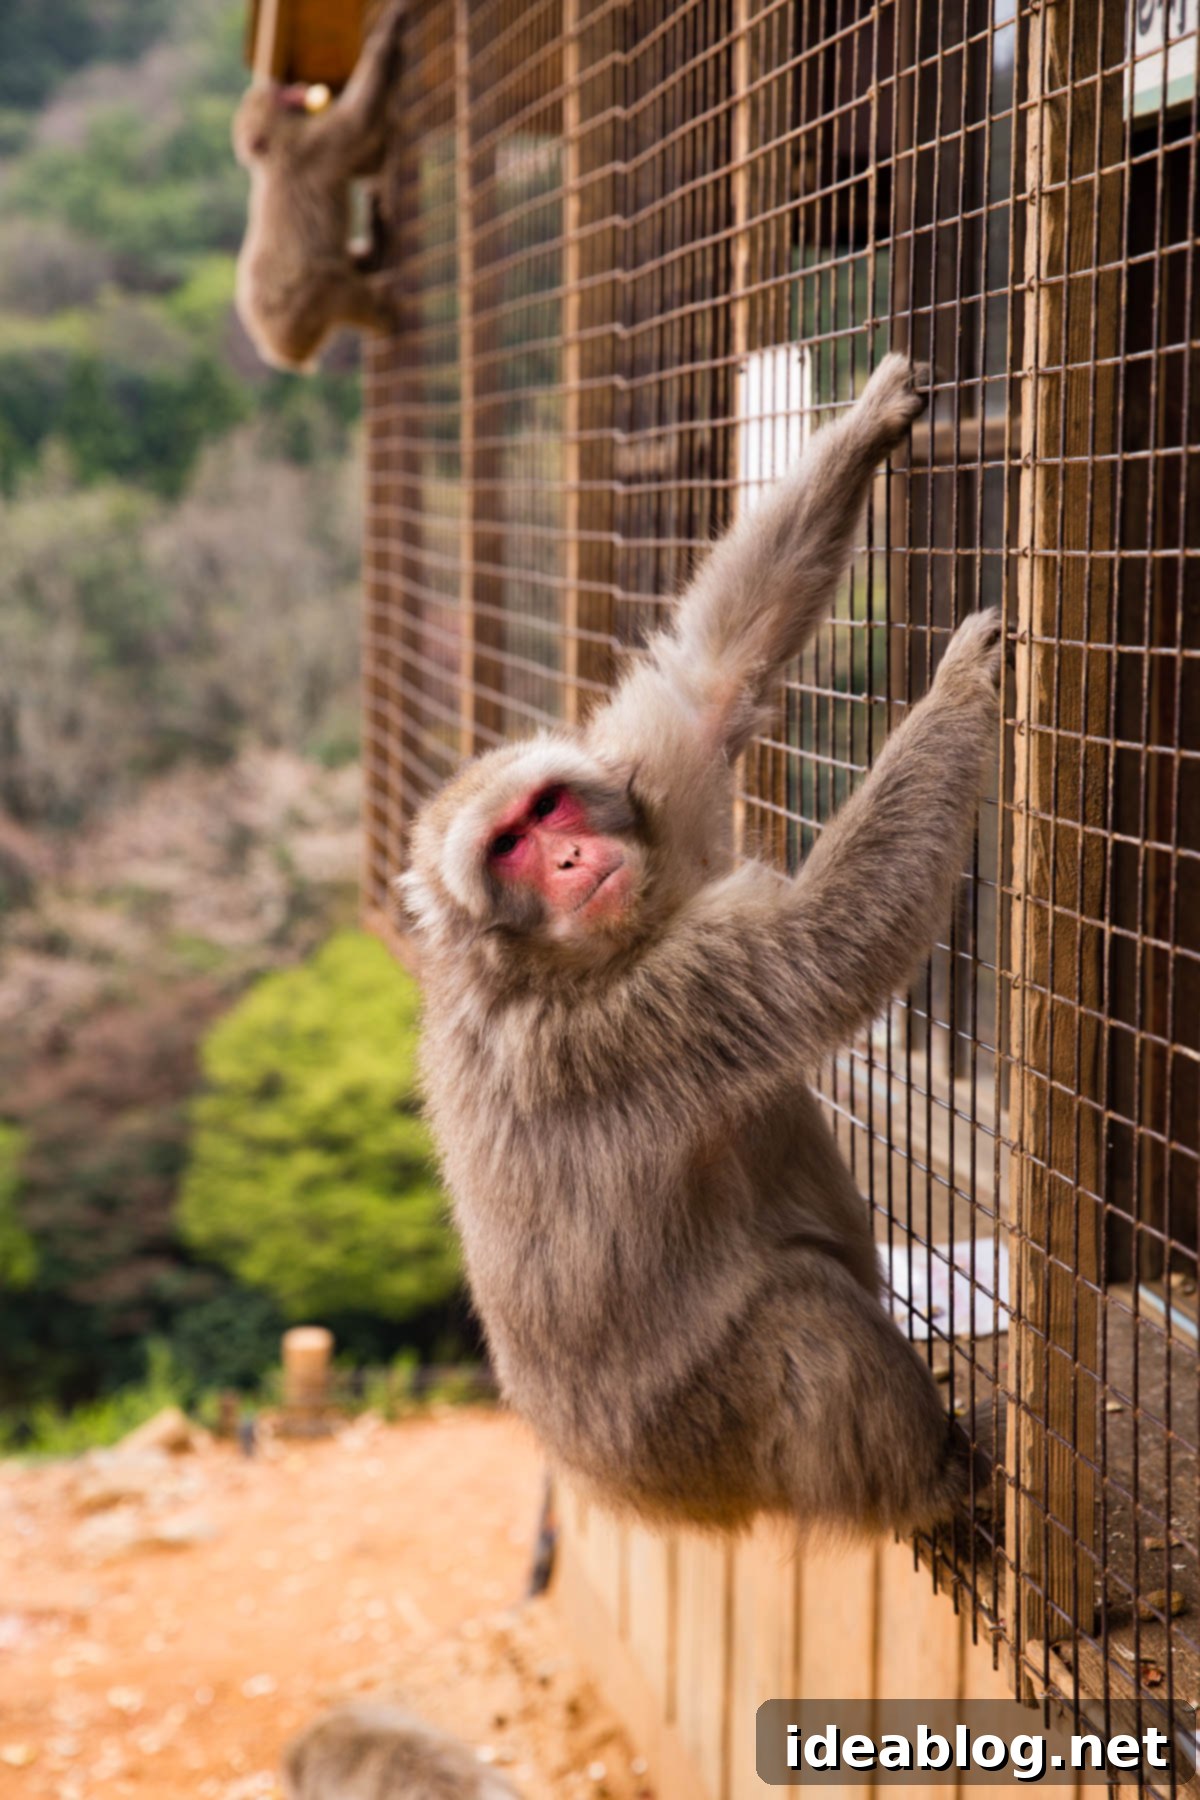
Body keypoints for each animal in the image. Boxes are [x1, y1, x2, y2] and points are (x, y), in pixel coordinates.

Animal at [232, 2, 403, 372]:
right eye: (281, 96)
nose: (293, 88)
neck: (274, 153)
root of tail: (275, 350)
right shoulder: (314, 147)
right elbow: (356, 125)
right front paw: (382, 42)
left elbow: (367, 159)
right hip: (297, 313)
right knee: (328, 282)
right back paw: (384, 315)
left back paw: (372, 253)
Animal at [399, 354, 1003, 1538]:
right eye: (509, 848)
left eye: (549, 807)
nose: (574, 858)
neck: (565, 961)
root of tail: (612, 1480)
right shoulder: (635, 1018)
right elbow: (823, 951)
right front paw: (957, 688)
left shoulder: (650, 801)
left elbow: (709, 677)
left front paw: (866, 424)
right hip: (700, 1429)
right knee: (801, 1320)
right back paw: (937, 1486)